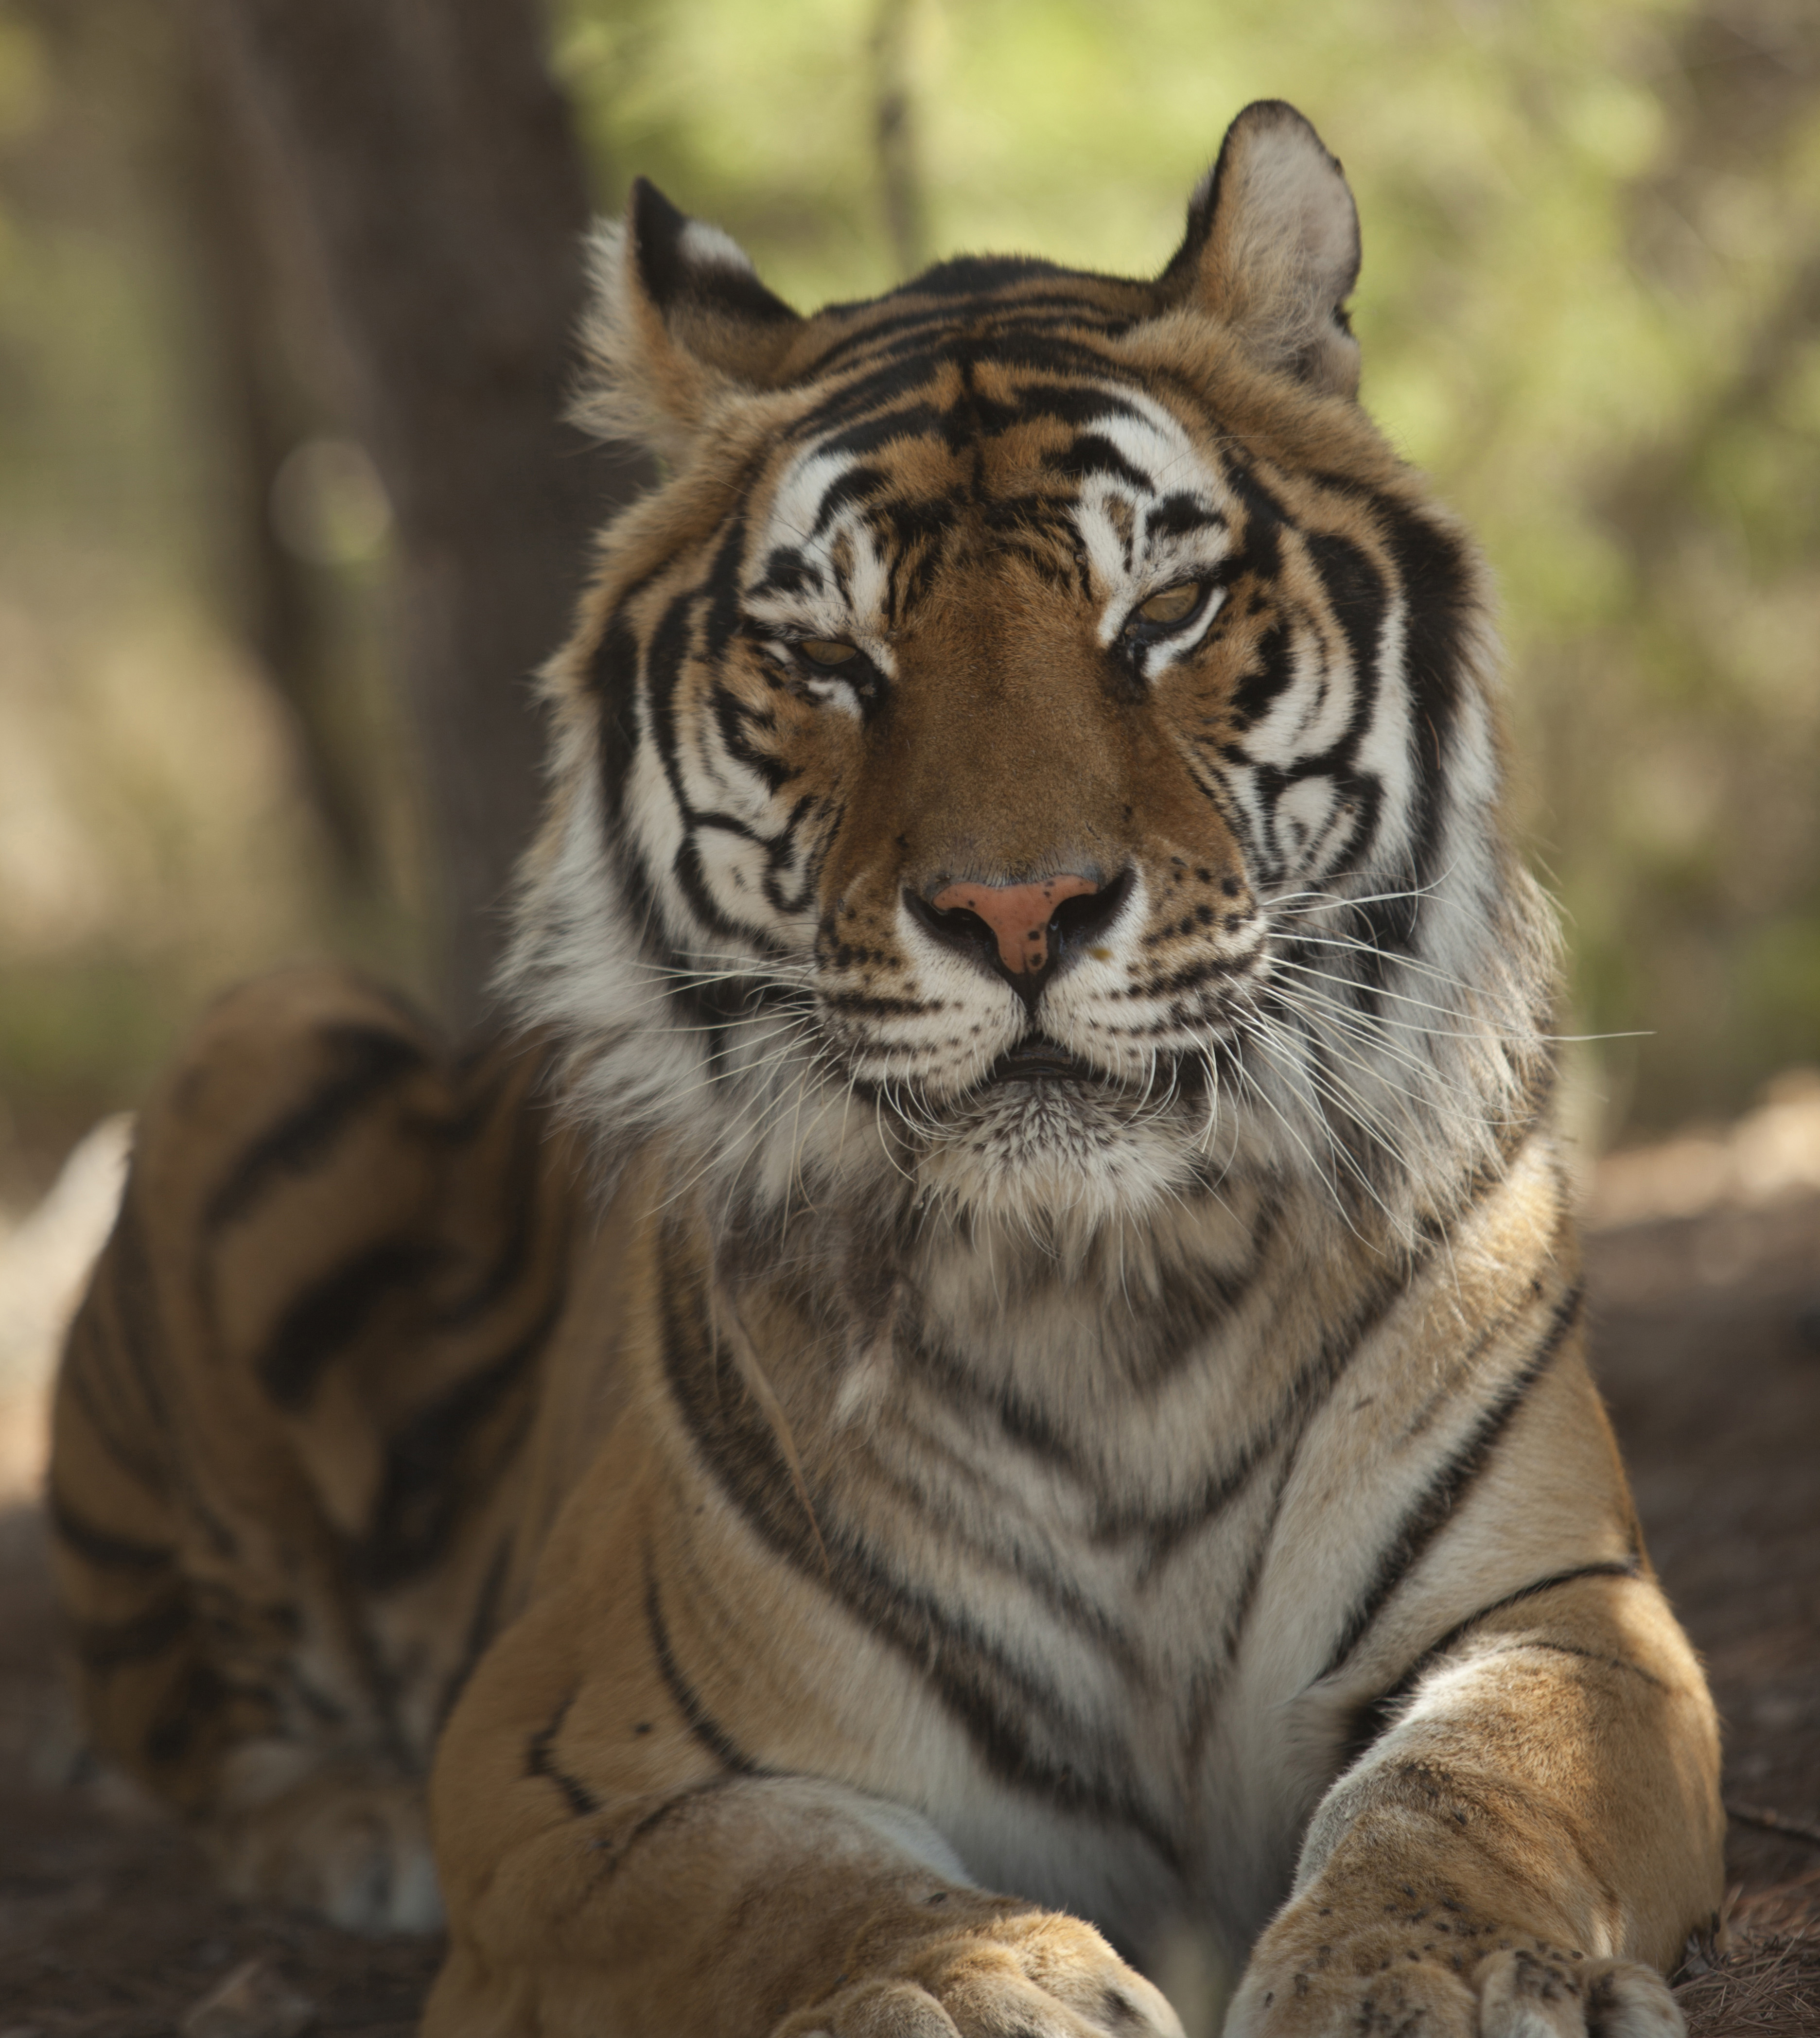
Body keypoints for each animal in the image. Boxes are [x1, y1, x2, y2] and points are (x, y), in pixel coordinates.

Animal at [50, 99, 1712, 2038]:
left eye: (1163, 609)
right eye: (828, 657)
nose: (1019, 909)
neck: (1106, 1295)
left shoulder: (1566, 1612)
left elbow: (1482, 1785)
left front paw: (1421, 1971)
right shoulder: (567, 1764)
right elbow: (774, 1889)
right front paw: (973, 1981)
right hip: (275, 1026)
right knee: (188, 1724)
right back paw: (348, 1826)